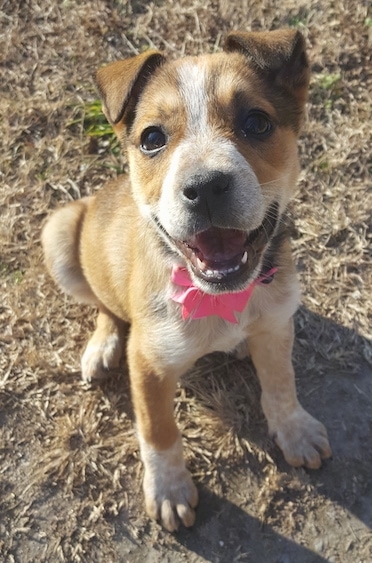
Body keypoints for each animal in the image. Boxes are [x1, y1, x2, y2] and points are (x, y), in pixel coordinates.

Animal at [42, 29, 332, 532]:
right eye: (152, 138)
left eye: (257, 122)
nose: (206, 187)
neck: (217, 296)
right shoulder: (149, 362)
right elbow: (158, 431)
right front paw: (169, 490)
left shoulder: (277, 323)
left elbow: (281, 383)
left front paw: (295, 431)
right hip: (59, 232)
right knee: (103, 307)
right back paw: (101, 347)